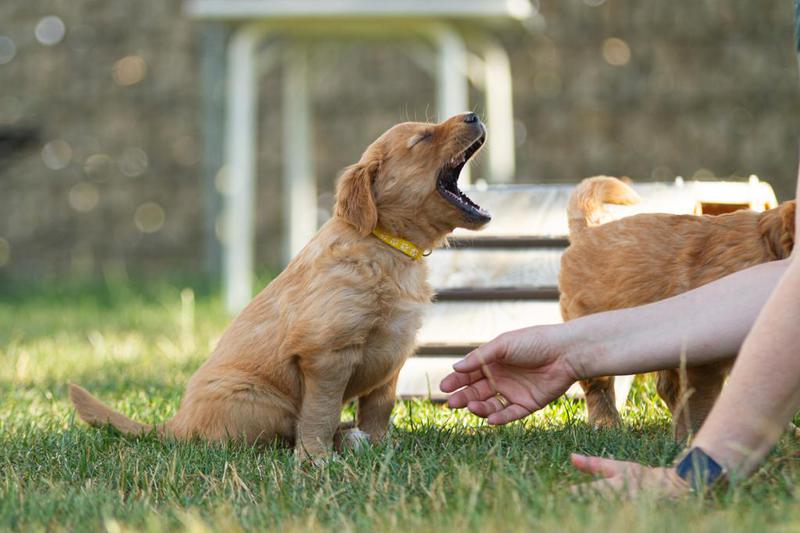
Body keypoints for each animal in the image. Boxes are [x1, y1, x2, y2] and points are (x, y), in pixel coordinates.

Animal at [69, 113, 491, 460]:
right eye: (423, 138)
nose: (473, 114)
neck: (388, 247)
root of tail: (176, 423)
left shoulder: (392, 357)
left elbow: (378, 407)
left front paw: (379, 445)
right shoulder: (326, 354)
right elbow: (320, 412)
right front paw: (316, 460)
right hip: (258, 400)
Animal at [559, 176, 795, 440]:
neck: (770, 248)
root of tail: (589, 229)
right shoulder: (703, 356)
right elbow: (701, 400)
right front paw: (692, 437)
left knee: (666, 386)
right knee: (599, 385)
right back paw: (606, 424)